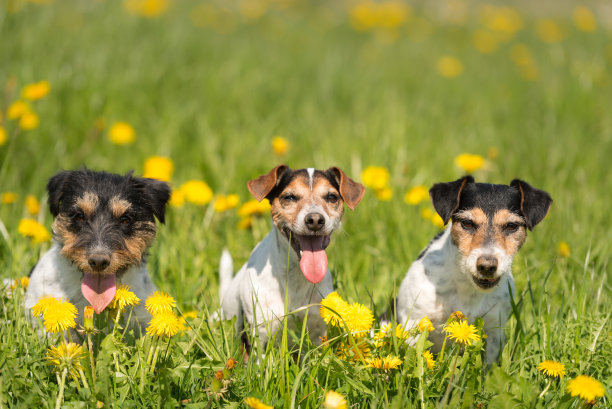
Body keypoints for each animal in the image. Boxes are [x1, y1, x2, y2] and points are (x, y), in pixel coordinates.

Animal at [219, 164, 364, 350]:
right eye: (289, 197)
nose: (315, 220)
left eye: (331, 197)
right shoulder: (259, 336)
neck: (295, 276)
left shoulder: (318, 335)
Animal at [394, 175, 552, 360]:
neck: (467, 288)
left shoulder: (494, 330)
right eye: (467, 223)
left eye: (512, 226)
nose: (487, 266)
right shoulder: (414, 320)